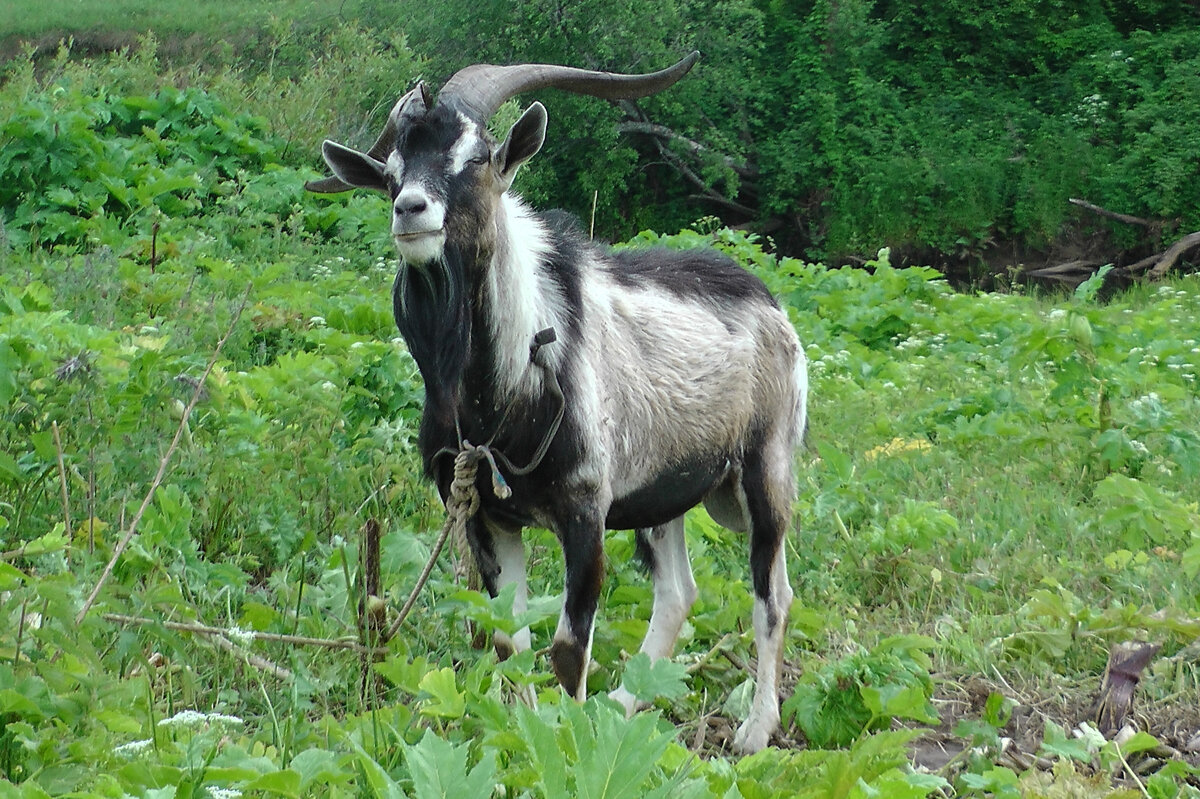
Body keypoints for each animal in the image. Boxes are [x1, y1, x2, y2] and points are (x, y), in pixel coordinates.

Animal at [304, 56, 811, 753]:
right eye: (390, 173)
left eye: (479, 157)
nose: (411, 209)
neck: (505, 383)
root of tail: (769, 302)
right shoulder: (486, 516)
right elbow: (506, 640)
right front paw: (524, 736)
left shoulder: (585, 508)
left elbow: (569, 649)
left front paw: (570, 747)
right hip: (663, 494)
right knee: (678, 591)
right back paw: (623, 706)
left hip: (767, 468)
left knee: (773, 595)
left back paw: (754, 732)